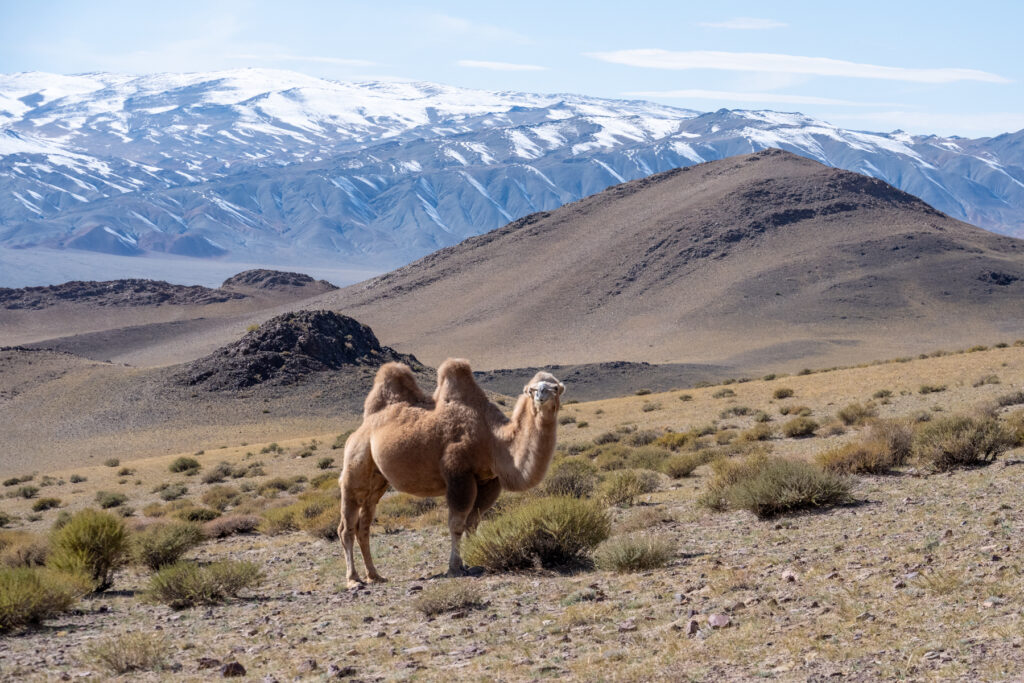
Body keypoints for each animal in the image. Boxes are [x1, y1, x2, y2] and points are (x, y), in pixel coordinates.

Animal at [337, 358, 565, 589]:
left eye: (555, 388)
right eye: (532, 389)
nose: (541, 395)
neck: (493, 439)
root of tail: (360, 429)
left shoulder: (489, 481)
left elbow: (473, 522)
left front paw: (474, 557)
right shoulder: (458, 474)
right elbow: (456, 523)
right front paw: (455, 568)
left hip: (377, 481)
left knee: (364, 525)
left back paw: (374, 575)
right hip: (355, 464)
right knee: (346, 526)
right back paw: (353, 579)